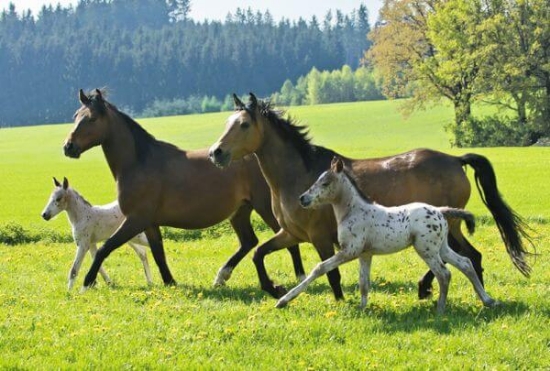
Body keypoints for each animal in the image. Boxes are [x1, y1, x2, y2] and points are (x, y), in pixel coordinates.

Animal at [278, 157, 498, 314]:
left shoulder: (349, 251)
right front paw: (363, 309)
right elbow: (363, 283)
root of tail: (441, 211)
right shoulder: (365, 254)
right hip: (441, 248)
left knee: (444, 274)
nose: (303, 199)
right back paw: (488, 300)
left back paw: (440, 309)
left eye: (325, 183)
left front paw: (283, 300)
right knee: (465, 263)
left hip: (426, 250)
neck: (354, 211)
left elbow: (319, 268)